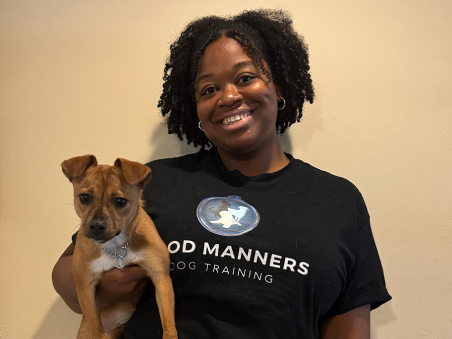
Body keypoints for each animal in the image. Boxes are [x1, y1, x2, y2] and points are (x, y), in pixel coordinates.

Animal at [61, 155, 177, 338]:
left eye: (120, 201)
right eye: (84, 197)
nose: (97, 226)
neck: (115, 245)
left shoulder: (161, 278)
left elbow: (168, 323)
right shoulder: (85, 288)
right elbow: (95, 327)